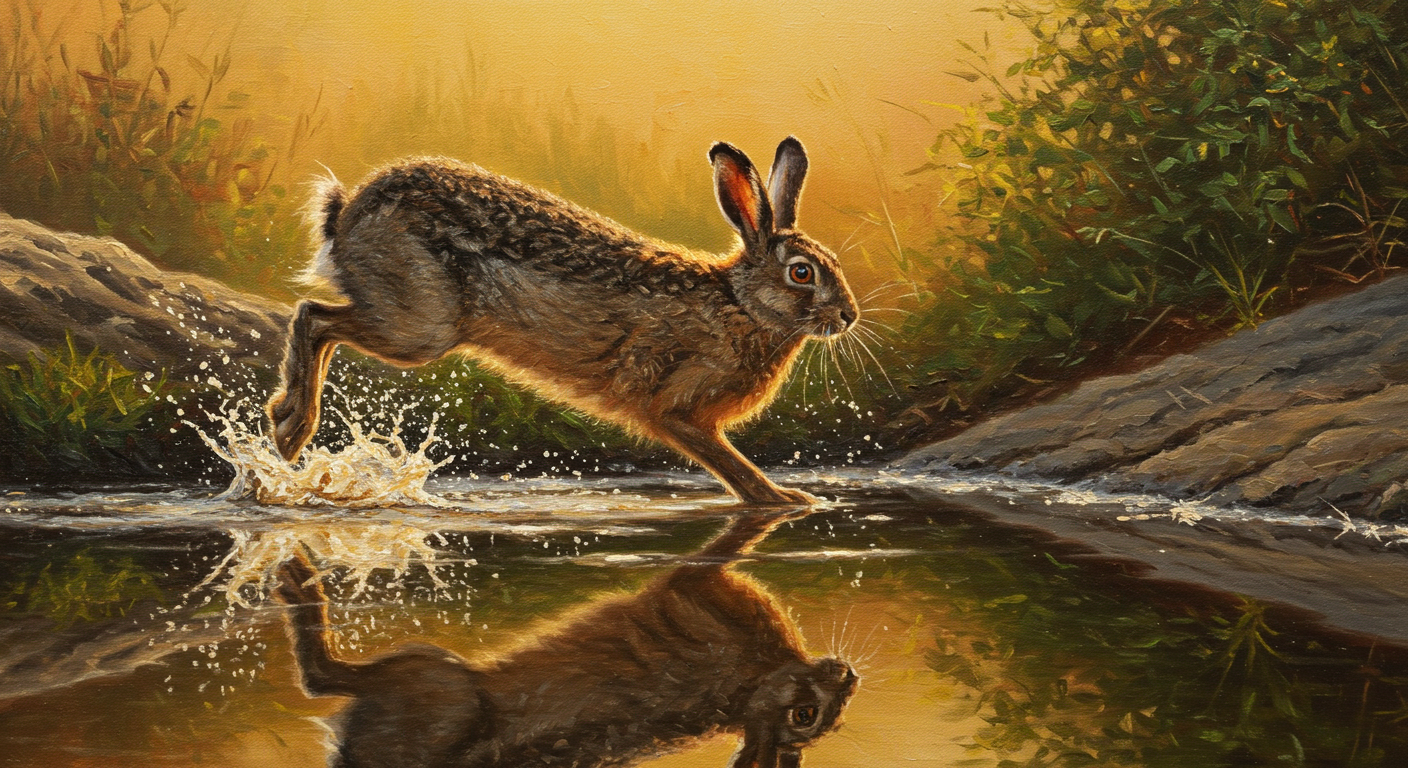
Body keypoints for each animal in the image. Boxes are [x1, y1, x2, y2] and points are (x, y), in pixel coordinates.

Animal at [266, 137, 859, 505]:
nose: (849, 316)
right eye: (802, 273)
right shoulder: (677, 408)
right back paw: (291, 428)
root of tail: (345, 218)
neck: (740, 305)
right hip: (419, 326)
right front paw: (785, 500)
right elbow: (730, 463)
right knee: (313, 317)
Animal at [273, 514, 857, 768]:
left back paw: (296, 577)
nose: (849, 676)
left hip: (437, 682)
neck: (753, 687)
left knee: (324, 677)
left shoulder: (690, 588)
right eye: (808, 714)